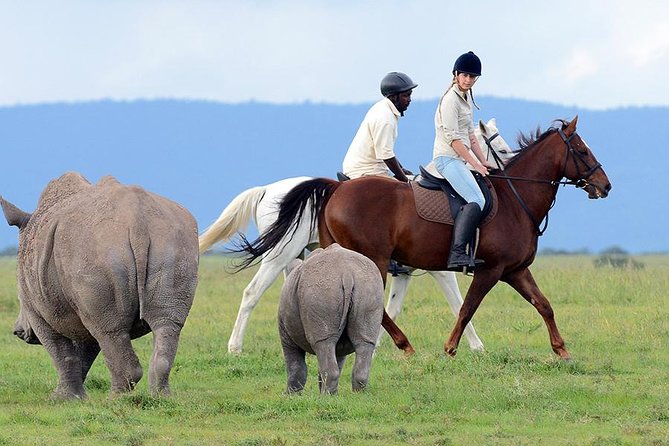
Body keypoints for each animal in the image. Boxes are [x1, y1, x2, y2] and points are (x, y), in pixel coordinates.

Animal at [197, 119, 512, 356]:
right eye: (502, 149)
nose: (503, 178)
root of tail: (266, 190)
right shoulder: (440, 270)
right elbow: (459, 304)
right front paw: (476, 347)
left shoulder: (405, 272)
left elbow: (392, 307)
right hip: (280, 255)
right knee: (252, 293)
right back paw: (235, 347)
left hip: (297, 259)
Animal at [240, 117, 612, 358]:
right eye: (581, 151)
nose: (605, 186)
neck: (514, 198)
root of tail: (337, 188)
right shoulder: (487, 271)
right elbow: (466, 307)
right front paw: (452, 348)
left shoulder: (515, 271)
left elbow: (543, 305)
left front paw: (561, 350)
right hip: (363, 259)